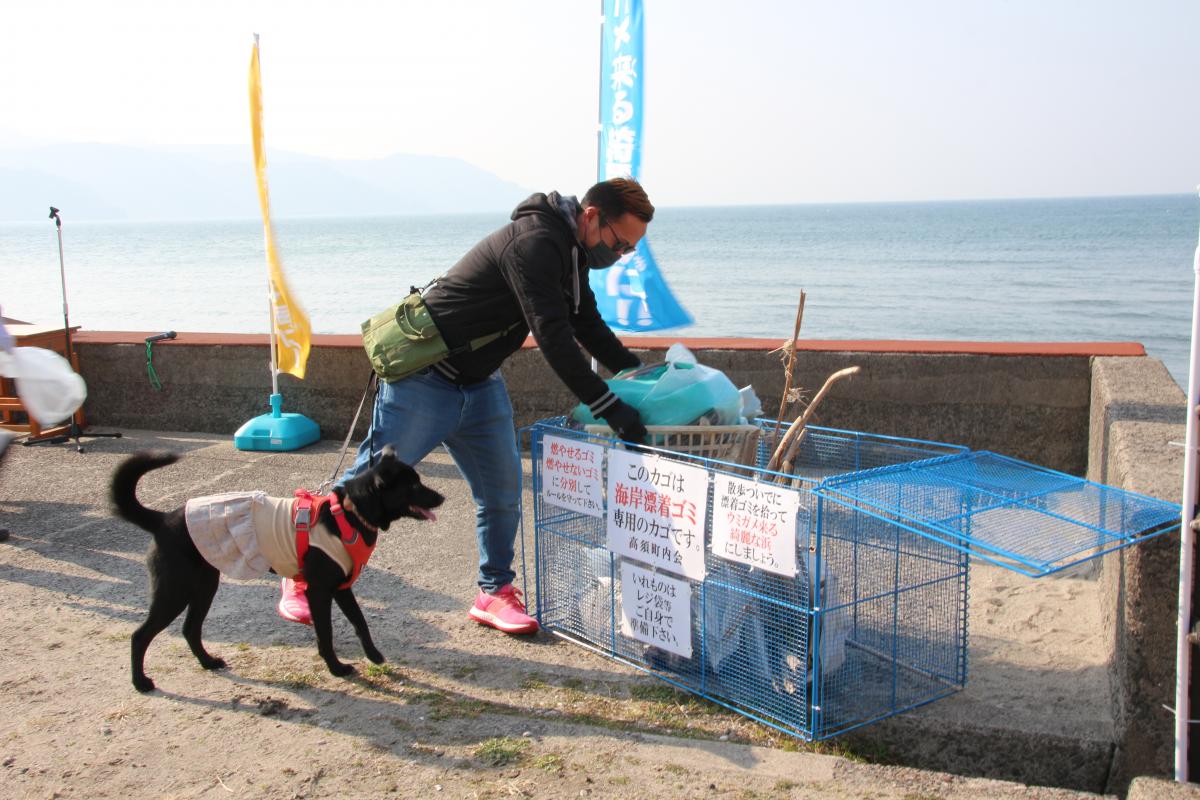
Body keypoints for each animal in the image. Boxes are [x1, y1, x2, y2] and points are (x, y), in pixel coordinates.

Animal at [109, 448, 441, 690]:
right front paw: (336, 668)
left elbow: (360, 623)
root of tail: (163, 519)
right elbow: (326, 633)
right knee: (140, 635)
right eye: (413, 485)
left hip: (204, 586)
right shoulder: (319, 592)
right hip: (174, 591)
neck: (347, 515)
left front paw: (373, 656)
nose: (441, 497)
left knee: (190, 629)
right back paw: (140, 682)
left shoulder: (342, 588)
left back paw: (208, 662)